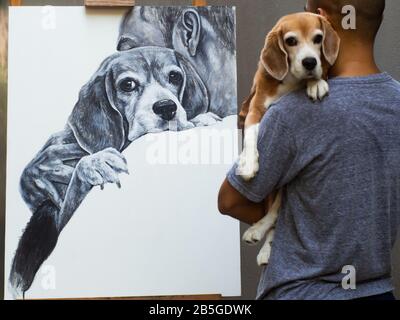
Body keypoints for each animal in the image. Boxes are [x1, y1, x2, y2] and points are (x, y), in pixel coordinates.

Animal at [9, 45, 216, 298]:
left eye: (175, 76)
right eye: (128, 84)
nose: (167, 107)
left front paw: (201, 118)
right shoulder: (59, 216)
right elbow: (78, 175)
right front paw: (96, 163)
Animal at [239, 12, 340, 266]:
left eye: (318, 38)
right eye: (291, 41)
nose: (310, 62)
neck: (291, 81)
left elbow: (320, 77)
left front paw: (316, 82)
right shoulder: (255, 110)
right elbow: (251, 136)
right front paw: (248, 163)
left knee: (276, 213)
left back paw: (265, 246)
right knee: (274, 213)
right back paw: (257, 232)